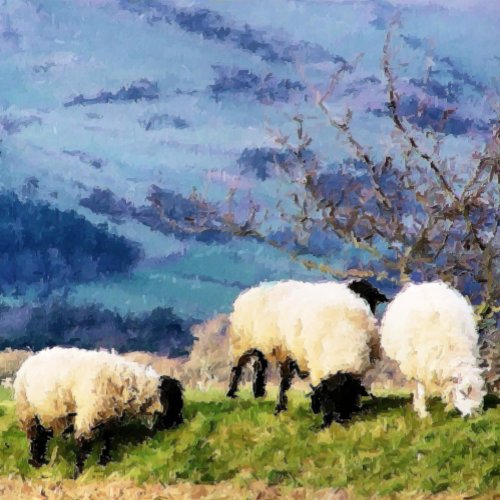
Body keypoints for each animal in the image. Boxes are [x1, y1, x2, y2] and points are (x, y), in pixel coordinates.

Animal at [14, 346, 184, 474]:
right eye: (175, 401)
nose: (180, 423)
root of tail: (30, 360)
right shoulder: (88, 414)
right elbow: (84, 445)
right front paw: (78, 473)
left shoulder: (109, 417)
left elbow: (107, 441)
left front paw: (103, 463)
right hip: (28, 412)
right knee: (35, 438)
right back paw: (36, 464)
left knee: (41, 437)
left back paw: (41, 463)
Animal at [227, 278, 386, 426]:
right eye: (326, 399)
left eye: (347, 398)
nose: (336, 422)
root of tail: (253, 289)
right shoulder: (288, 352)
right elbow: (284, 382)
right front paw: (280, 408)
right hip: (241, 341)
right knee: (238, 367)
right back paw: (232, 394)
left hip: (260, 344)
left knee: (259, 365)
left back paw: (258, 393)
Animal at [378, 282, 484, 418]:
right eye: (463, 392)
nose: (475, 416)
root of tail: (422, 285)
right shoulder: (419, 364)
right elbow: (421, 389)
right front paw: (423, 413)